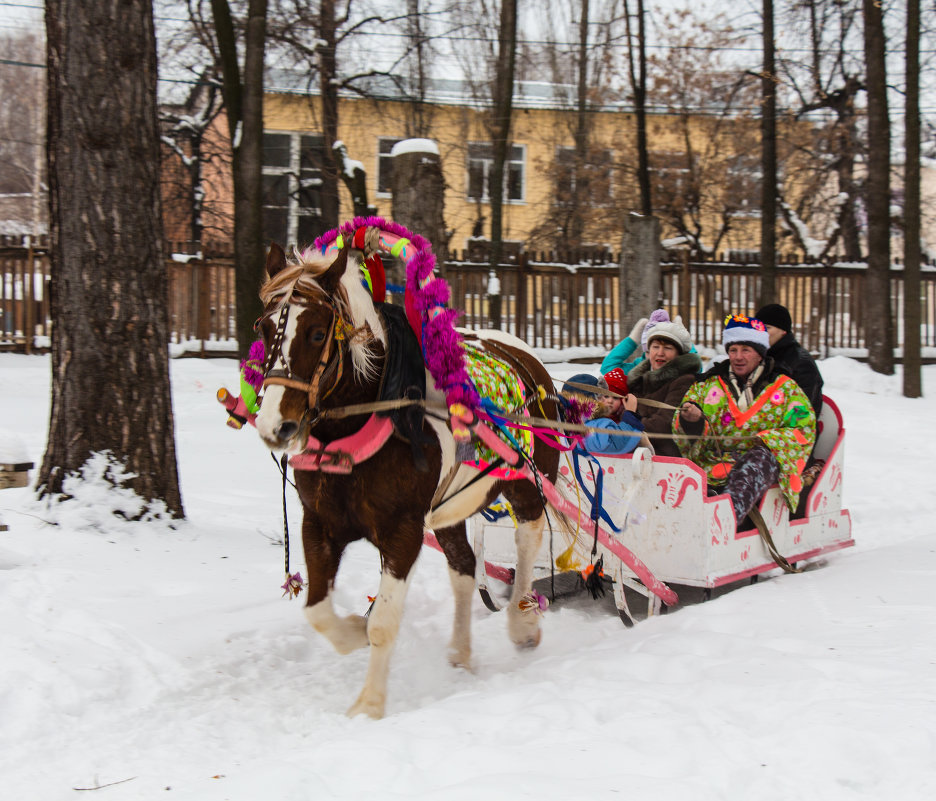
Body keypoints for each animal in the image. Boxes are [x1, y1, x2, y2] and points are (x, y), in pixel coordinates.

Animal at [250, 225, 564, 720]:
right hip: (450, 507)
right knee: (464, 567)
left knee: (528, 537)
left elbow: (384, 622)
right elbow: (318, 611)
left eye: (318, 333)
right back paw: (460, 652)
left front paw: (369, 705)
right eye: (264, 328)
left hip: (524, 481)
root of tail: (522, 355)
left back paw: (523, 621)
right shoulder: (319, 523)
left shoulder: (402, 531)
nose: (274, 426)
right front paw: (352, 630)